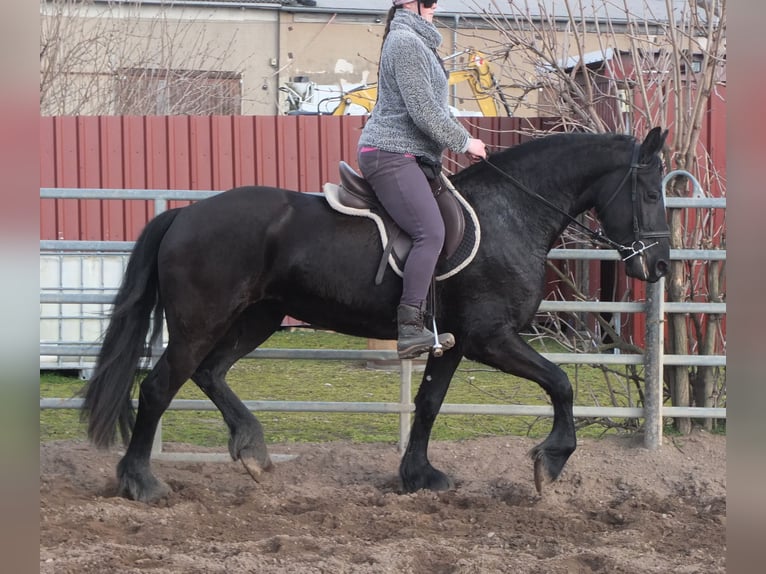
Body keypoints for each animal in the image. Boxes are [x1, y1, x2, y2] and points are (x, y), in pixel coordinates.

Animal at [81, 127, 668, 504]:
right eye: (648, 191)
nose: (660, 264)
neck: (510, 214)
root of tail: (186, 214)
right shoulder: (489, 338)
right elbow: (560, 383)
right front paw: (551, 460)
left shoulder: (452, 342)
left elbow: (428, 404)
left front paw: (419, 475)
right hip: (200, 323)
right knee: (160, 386)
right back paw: (142, 483)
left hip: (258, 318)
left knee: (211, 373)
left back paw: (251, 450)